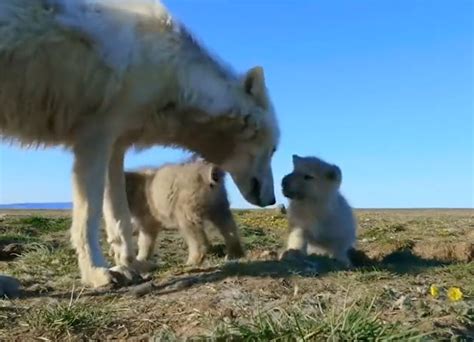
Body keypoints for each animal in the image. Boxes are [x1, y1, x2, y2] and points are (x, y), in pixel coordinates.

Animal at [0, 0, 280, 288]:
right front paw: (96, 272)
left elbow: (119, 218)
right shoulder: (95, 139)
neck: (169, 72)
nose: (273, 199)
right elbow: (89, 216)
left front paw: (130, 264)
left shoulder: (115, 147)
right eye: (273, 150)